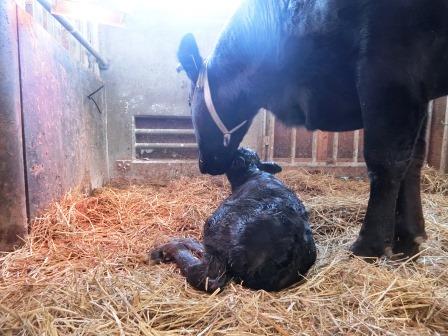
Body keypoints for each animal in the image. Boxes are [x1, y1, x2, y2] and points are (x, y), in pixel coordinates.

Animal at [176, 0, 448, 258]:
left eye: (189, 101)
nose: (204, 163)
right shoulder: (419, 95)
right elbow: (413, 160)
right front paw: (410, 238)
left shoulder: (389, 73)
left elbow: (386, 161)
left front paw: (370, 246)